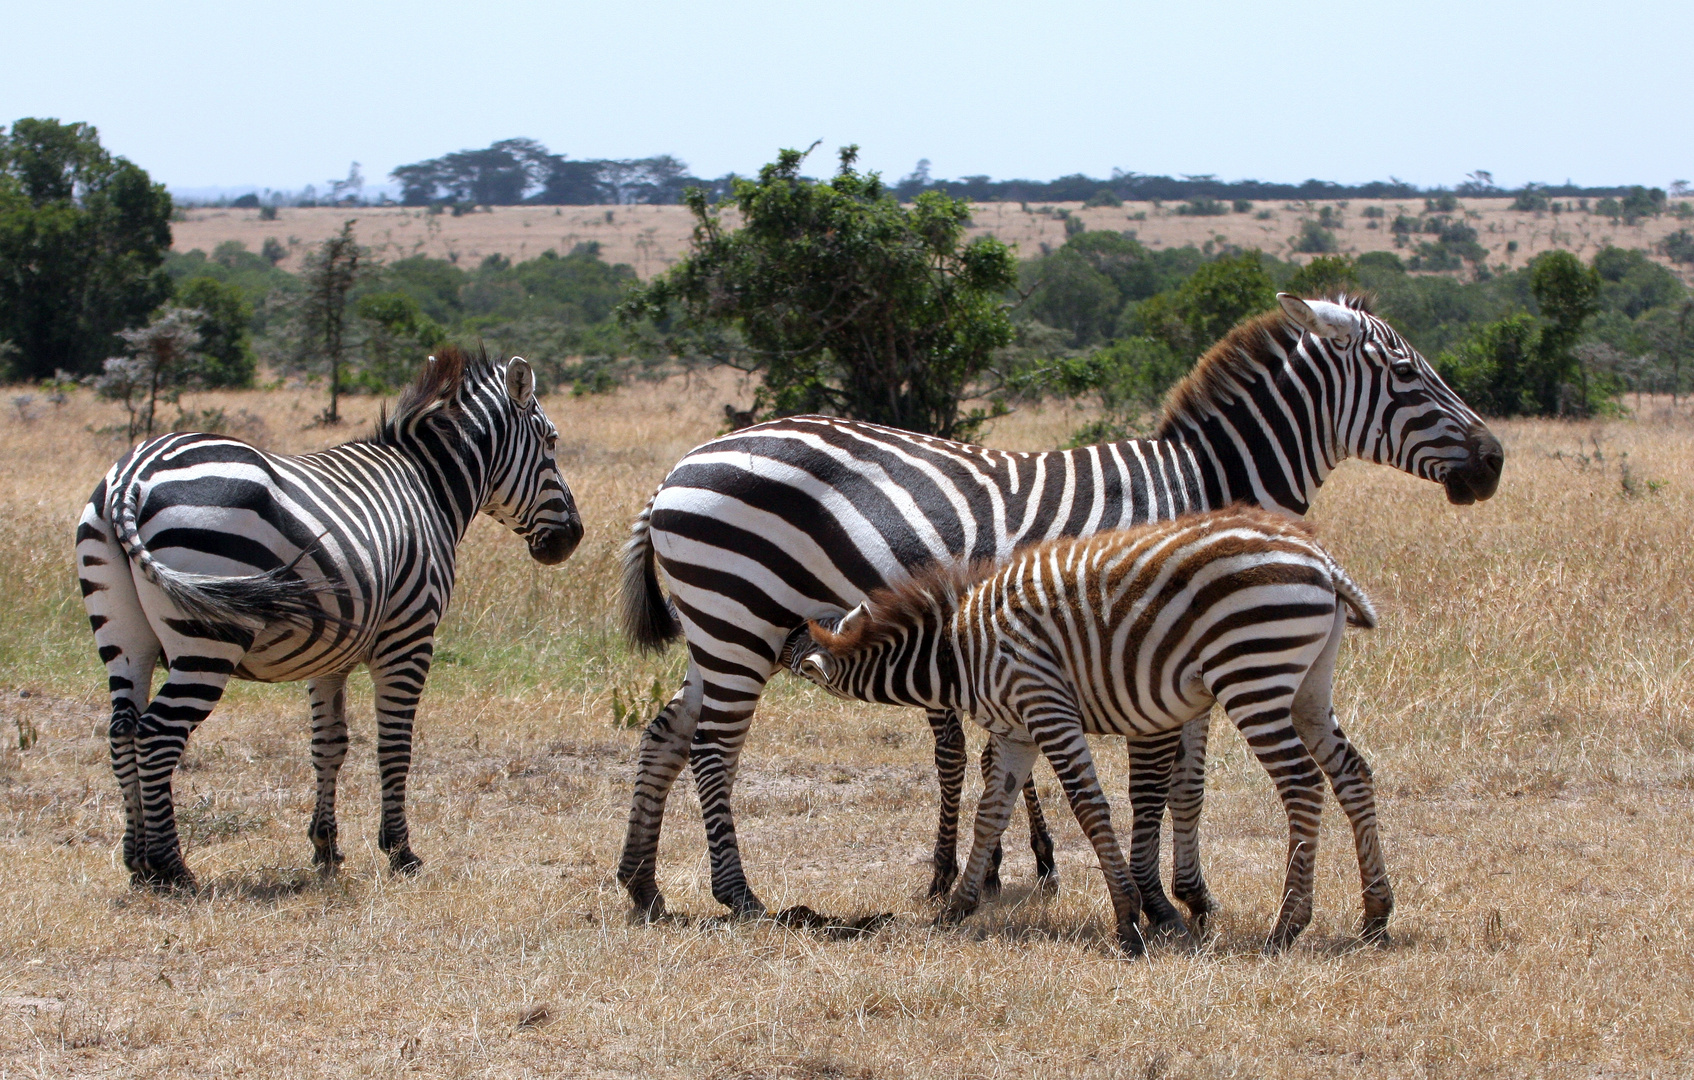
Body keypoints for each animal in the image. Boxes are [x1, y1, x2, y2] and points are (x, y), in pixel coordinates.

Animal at [77, 352, 582, 893]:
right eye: (551, 441)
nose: (573, 537)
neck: (427, 487)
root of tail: (132, 475)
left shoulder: (330, 650)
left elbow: (329, 744)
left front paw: (326, 847)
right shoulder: (409, 636)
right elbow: (394, 746)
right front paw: (400, 851)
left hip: (123, 632)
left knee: (122, 730)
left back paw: (137, 862)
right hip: (208, 638)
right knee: (157, 735)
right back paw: (172, 868)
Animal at [792, 511, 1389, 961]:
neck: (957, 649)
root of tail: (1318, 557)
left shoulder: (1046, 705)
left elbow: (1089, 807)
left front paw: (1128, 922)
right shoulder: (1017, 732)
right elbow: (991, 814)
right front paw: (957, 908)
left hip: (1253, 674)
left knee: (1303, 786)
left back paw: (1287, 926)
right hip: (1308, 684)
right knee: (1352, 773)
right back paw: (1376, 916)